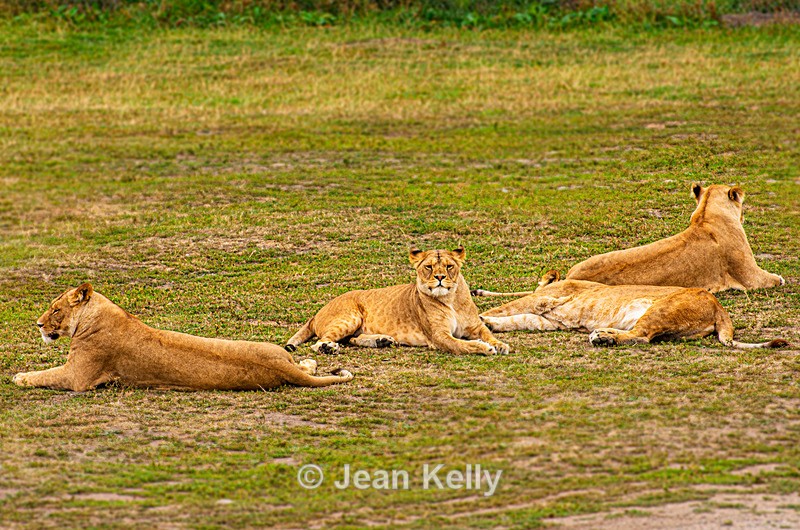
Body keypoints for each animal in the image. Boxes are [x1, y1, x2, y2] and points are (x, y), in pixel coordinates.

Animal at [13, 283, 353, 392]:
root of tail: (281, 367)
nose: (38, 324)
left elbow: (44, 375)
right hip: (281, 353)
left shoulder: (78, 377)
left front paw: (19, 377)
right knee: (304, 364)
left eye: (56, 310)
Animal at [285, 247, 510, 356]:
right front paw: (484, 348)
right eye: (429, 267)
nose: (439, 277)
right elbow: (463, 346)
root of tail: (316, 313)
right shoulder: (438, 337)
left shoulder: (475, 326)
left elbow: (488, 334)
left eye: (449, 266)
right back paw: (329, 348)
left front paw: (500, 345)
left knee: (351, 340)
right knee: (319, 343)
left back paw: (381, 341)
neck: (450, 298)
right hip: (349, 318)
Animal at [477, 271, 789, 349]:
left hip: (660, 308)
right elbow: (517, 320)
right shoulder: (549, 319)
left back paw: (602, 337)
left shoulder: (541, 301)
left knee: (642, 336)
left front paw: (481, 317)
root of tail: (719, 308)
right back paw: (605, 335)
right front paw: (489, 324)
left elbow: (508, 307)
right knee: (644, 337)